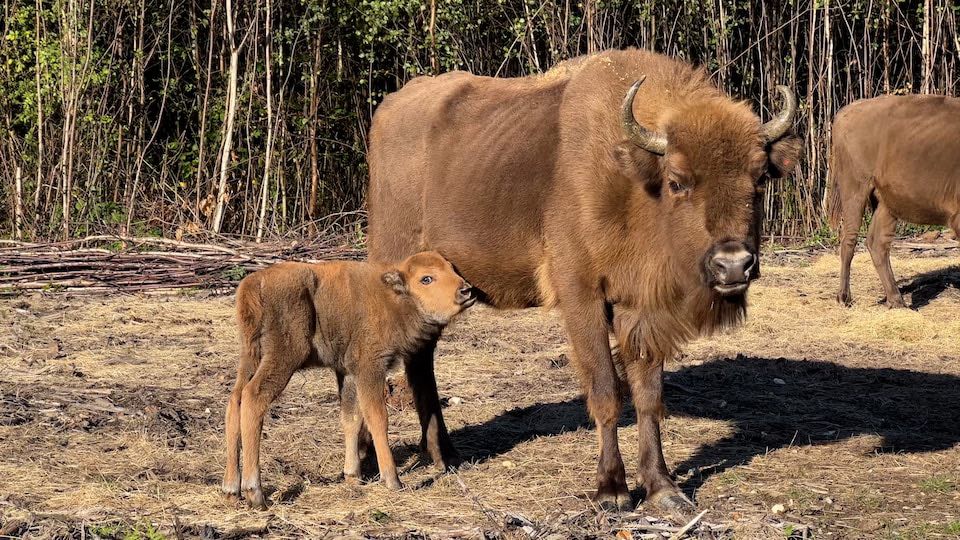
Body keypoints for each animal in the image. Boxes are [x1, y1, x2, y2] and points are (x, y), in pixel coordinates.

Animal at [218, 251, 472, 508]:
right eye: (426, 279)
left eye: (451, 268)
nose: (465, 290)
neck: (391, 297)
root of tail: (254, 283)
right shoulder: (370, 368)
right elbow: (377, 418)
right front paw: (392, 480)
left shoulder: (348, 373)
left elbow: (352, 418)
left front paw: (353, 476)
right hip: (283, 358)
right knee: (253, 398)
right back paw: (255, 492)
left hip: (250, 357)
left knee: (235, 401)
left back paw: (231, 490)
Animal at [368, 49, 804, 516]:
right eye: (677, 181)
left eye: (759, 179)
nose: (733, 266)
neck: (633, 180)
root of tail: (388, 110)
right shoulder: (582, 297)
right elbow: (606, 390)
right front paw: (612, 490)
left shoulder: (638, 308)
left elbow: (648, 395)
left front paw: (663, 487)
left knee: (422, 359)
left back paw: (446, 455)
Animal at [828, 94, 956, 308]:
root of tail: (848, 110)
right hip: (855, 188)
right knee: (849, 239)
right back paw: (844, 298)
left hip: (886, 203)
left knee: (877, 243)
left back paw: (896, 301)